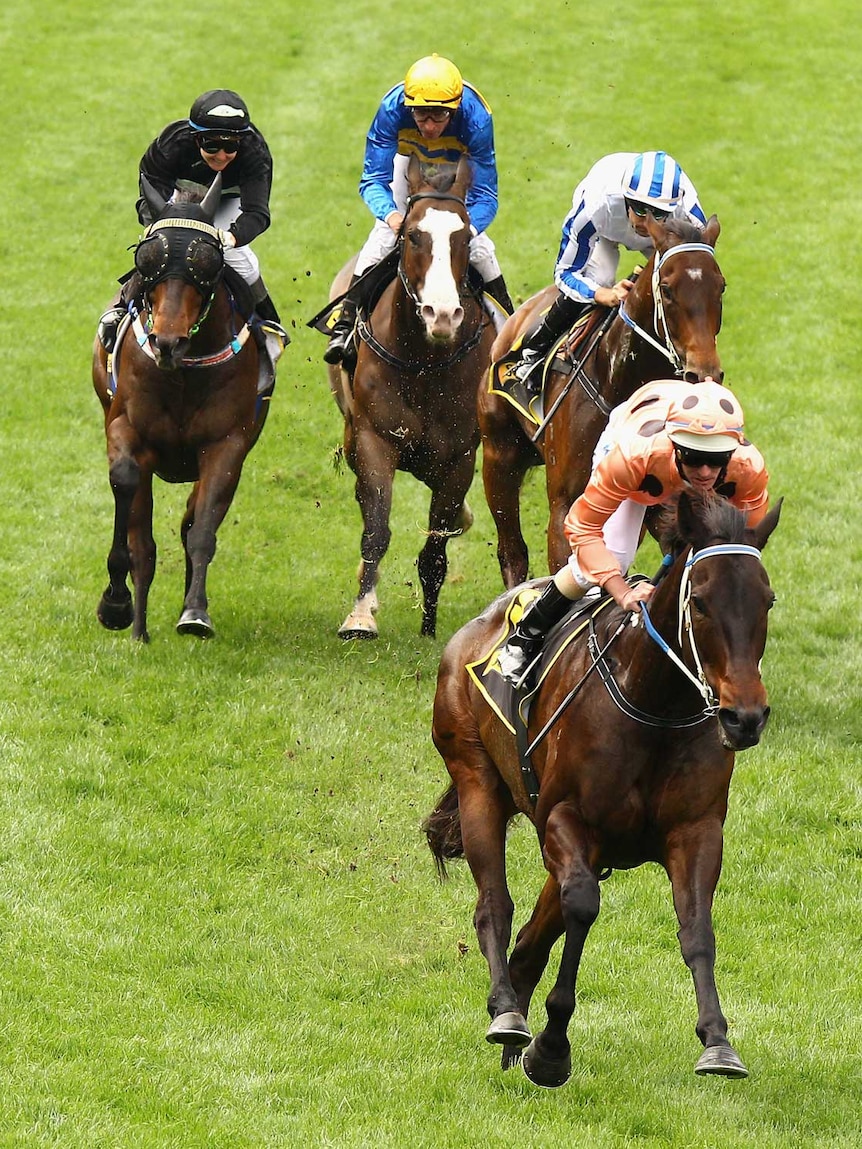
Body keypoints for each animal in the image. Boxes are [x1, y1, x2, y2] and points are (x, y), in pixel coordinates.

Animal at [93, 175, 273, 643]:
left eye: (206, 264)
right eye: (148, 259)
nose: (167, 342)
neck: (182, 374)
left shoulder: (226, 445)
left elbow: (202, 530)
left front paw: (195, 612)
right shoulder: (126, 429)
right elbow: (126, 487)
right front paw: (115, 605)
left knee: (190, 524)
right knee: (144, 545)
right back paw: (137, 629)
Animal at [326, 152, 496, 638]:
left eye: (464, 237)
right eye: (413, 235)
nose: (442, 314)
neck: (424, 362)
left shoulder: (459, 456)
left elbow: (435, 552)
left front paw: (429, 627)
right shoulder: (373, 440)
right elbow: (376, 530)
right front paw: (360, 615)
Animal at [425, 491, 781, 1084]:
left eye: (767, 601)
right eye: (700, 602)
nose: (745, 717)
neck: (658, 707)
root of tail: (475, 627)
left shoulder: (695, 830)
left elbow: (697, 929)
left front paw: (717, 1042)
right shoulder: (566, 819)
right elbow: (584, 906)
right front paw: (551, 1048)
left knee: (530, 941)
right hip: (475, 777)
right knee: (494, 905)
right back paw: (506, 1014)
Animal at [482, 216, 726, 588]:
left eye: (720, 287)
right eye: (667, 289)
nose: (704, 373)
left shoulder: (657, 506)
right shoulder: (566, 507)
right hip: (499, 457)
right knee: (512, 552)